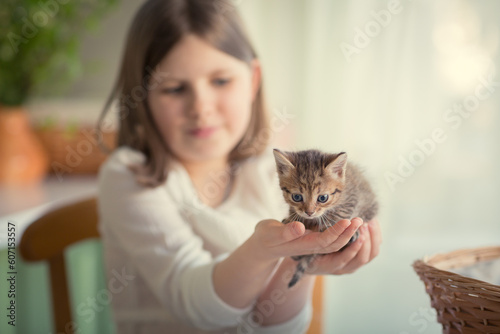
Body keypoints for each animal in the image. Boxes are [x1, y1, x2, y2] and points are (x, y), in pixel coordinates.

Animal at [274, 149, 378, 288]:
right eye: (297, 197)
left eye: (322, 198)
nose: (309, 212)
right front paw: (291, 219)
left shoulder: (353, 196)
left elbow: (342, 212)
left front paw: (329, 225)